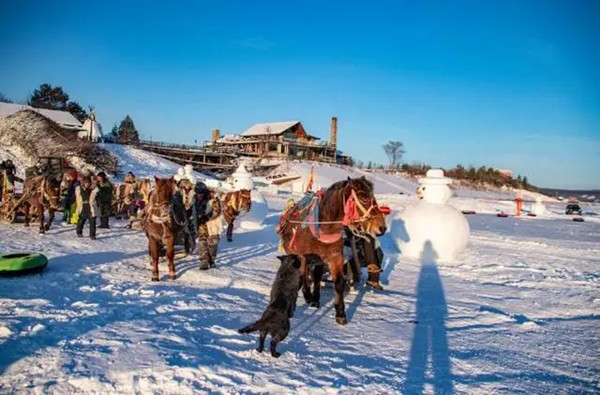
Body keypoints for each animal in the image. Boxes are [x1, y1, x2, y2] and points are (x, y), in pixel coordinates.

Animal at [278, 176, 386, 324]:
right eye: (364, 198)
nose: (382, 227)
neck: (322, 228)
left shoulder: (336, 258)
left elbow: (338, 283)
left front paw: (340, 313)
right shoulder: (304, 256)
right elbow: (303, 276)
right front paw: (305, 296)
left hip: (320, 260)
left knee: (317, 277)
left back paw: (315, 300)